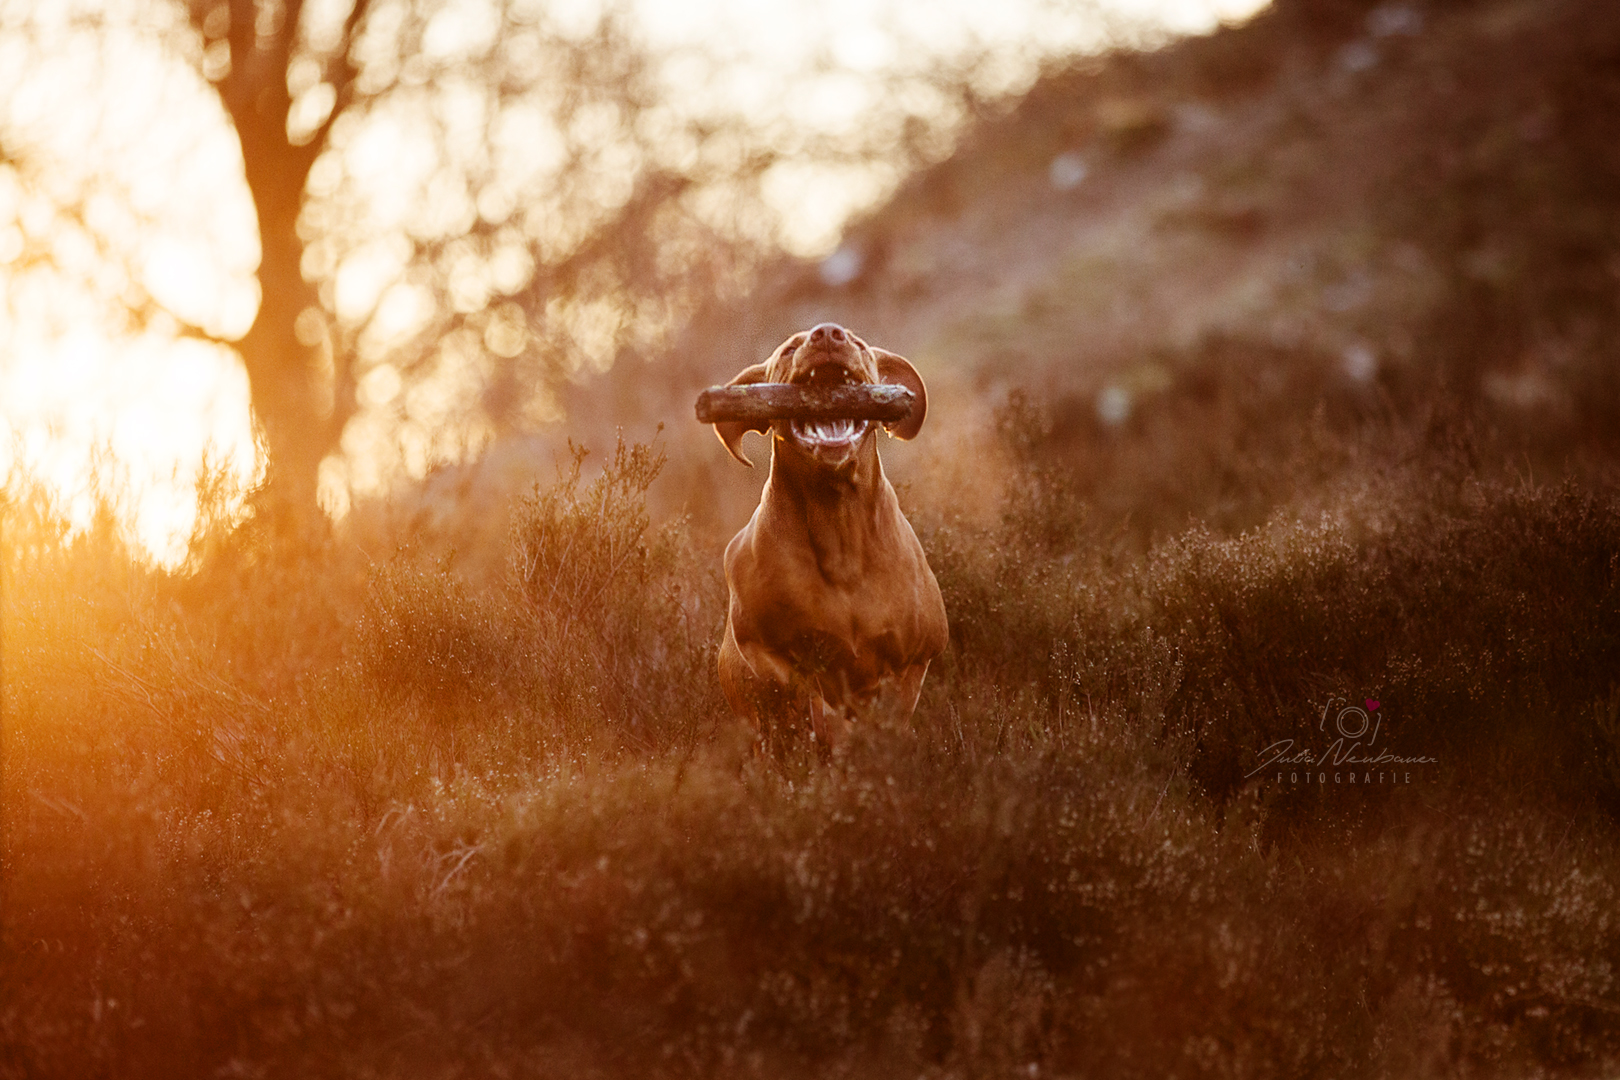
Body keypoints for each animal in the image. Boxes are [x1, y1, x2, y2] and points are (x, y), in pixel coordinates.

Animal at [709, 320, 946, 751]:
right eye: (788, 350)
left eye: (859, 344)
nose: (828, 333)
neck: (839, 528)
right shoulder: (761, 646)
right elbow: (807, 693)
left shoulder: (915, 658)